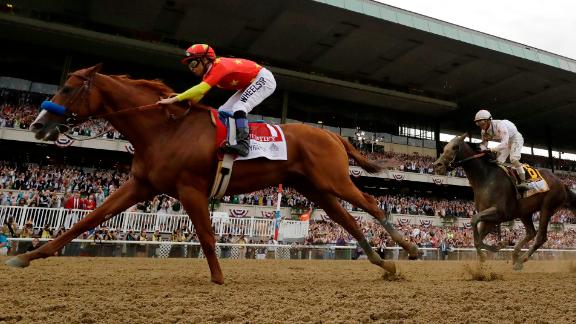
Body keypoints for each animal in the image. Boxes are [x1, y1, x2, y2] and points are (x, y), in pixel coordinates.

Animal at [4, 64, 418, 282]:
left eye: (67, 88)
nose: (38, 124)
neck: (163, 129)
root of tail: (330, 133)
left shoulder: (190, 189)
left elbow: (204, 234)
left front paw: (218, 279)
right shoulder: (141, 184)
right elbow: (89, 219)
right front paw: (29, 256)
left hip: (334, 180)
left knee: (371, 205)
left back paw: (409, 248)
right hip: (315, 188)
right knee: (346, 219)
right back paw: (383, 261)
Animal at [432, 133, 576, 270]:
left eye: (455, 147)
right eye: (444, 148)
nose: (437, 165)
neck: (485, 178)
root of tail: (562, 183)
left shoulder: (500, 212)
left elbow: (474, 221)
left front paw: (486, 254)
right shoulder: (490, 218)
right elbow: (478, 238)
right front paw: (499, 245)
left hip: (547, 206)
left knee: (540, 237)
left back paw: (520, 260)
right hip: (524, 212)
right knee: (531, 232)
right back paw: (515, 255)